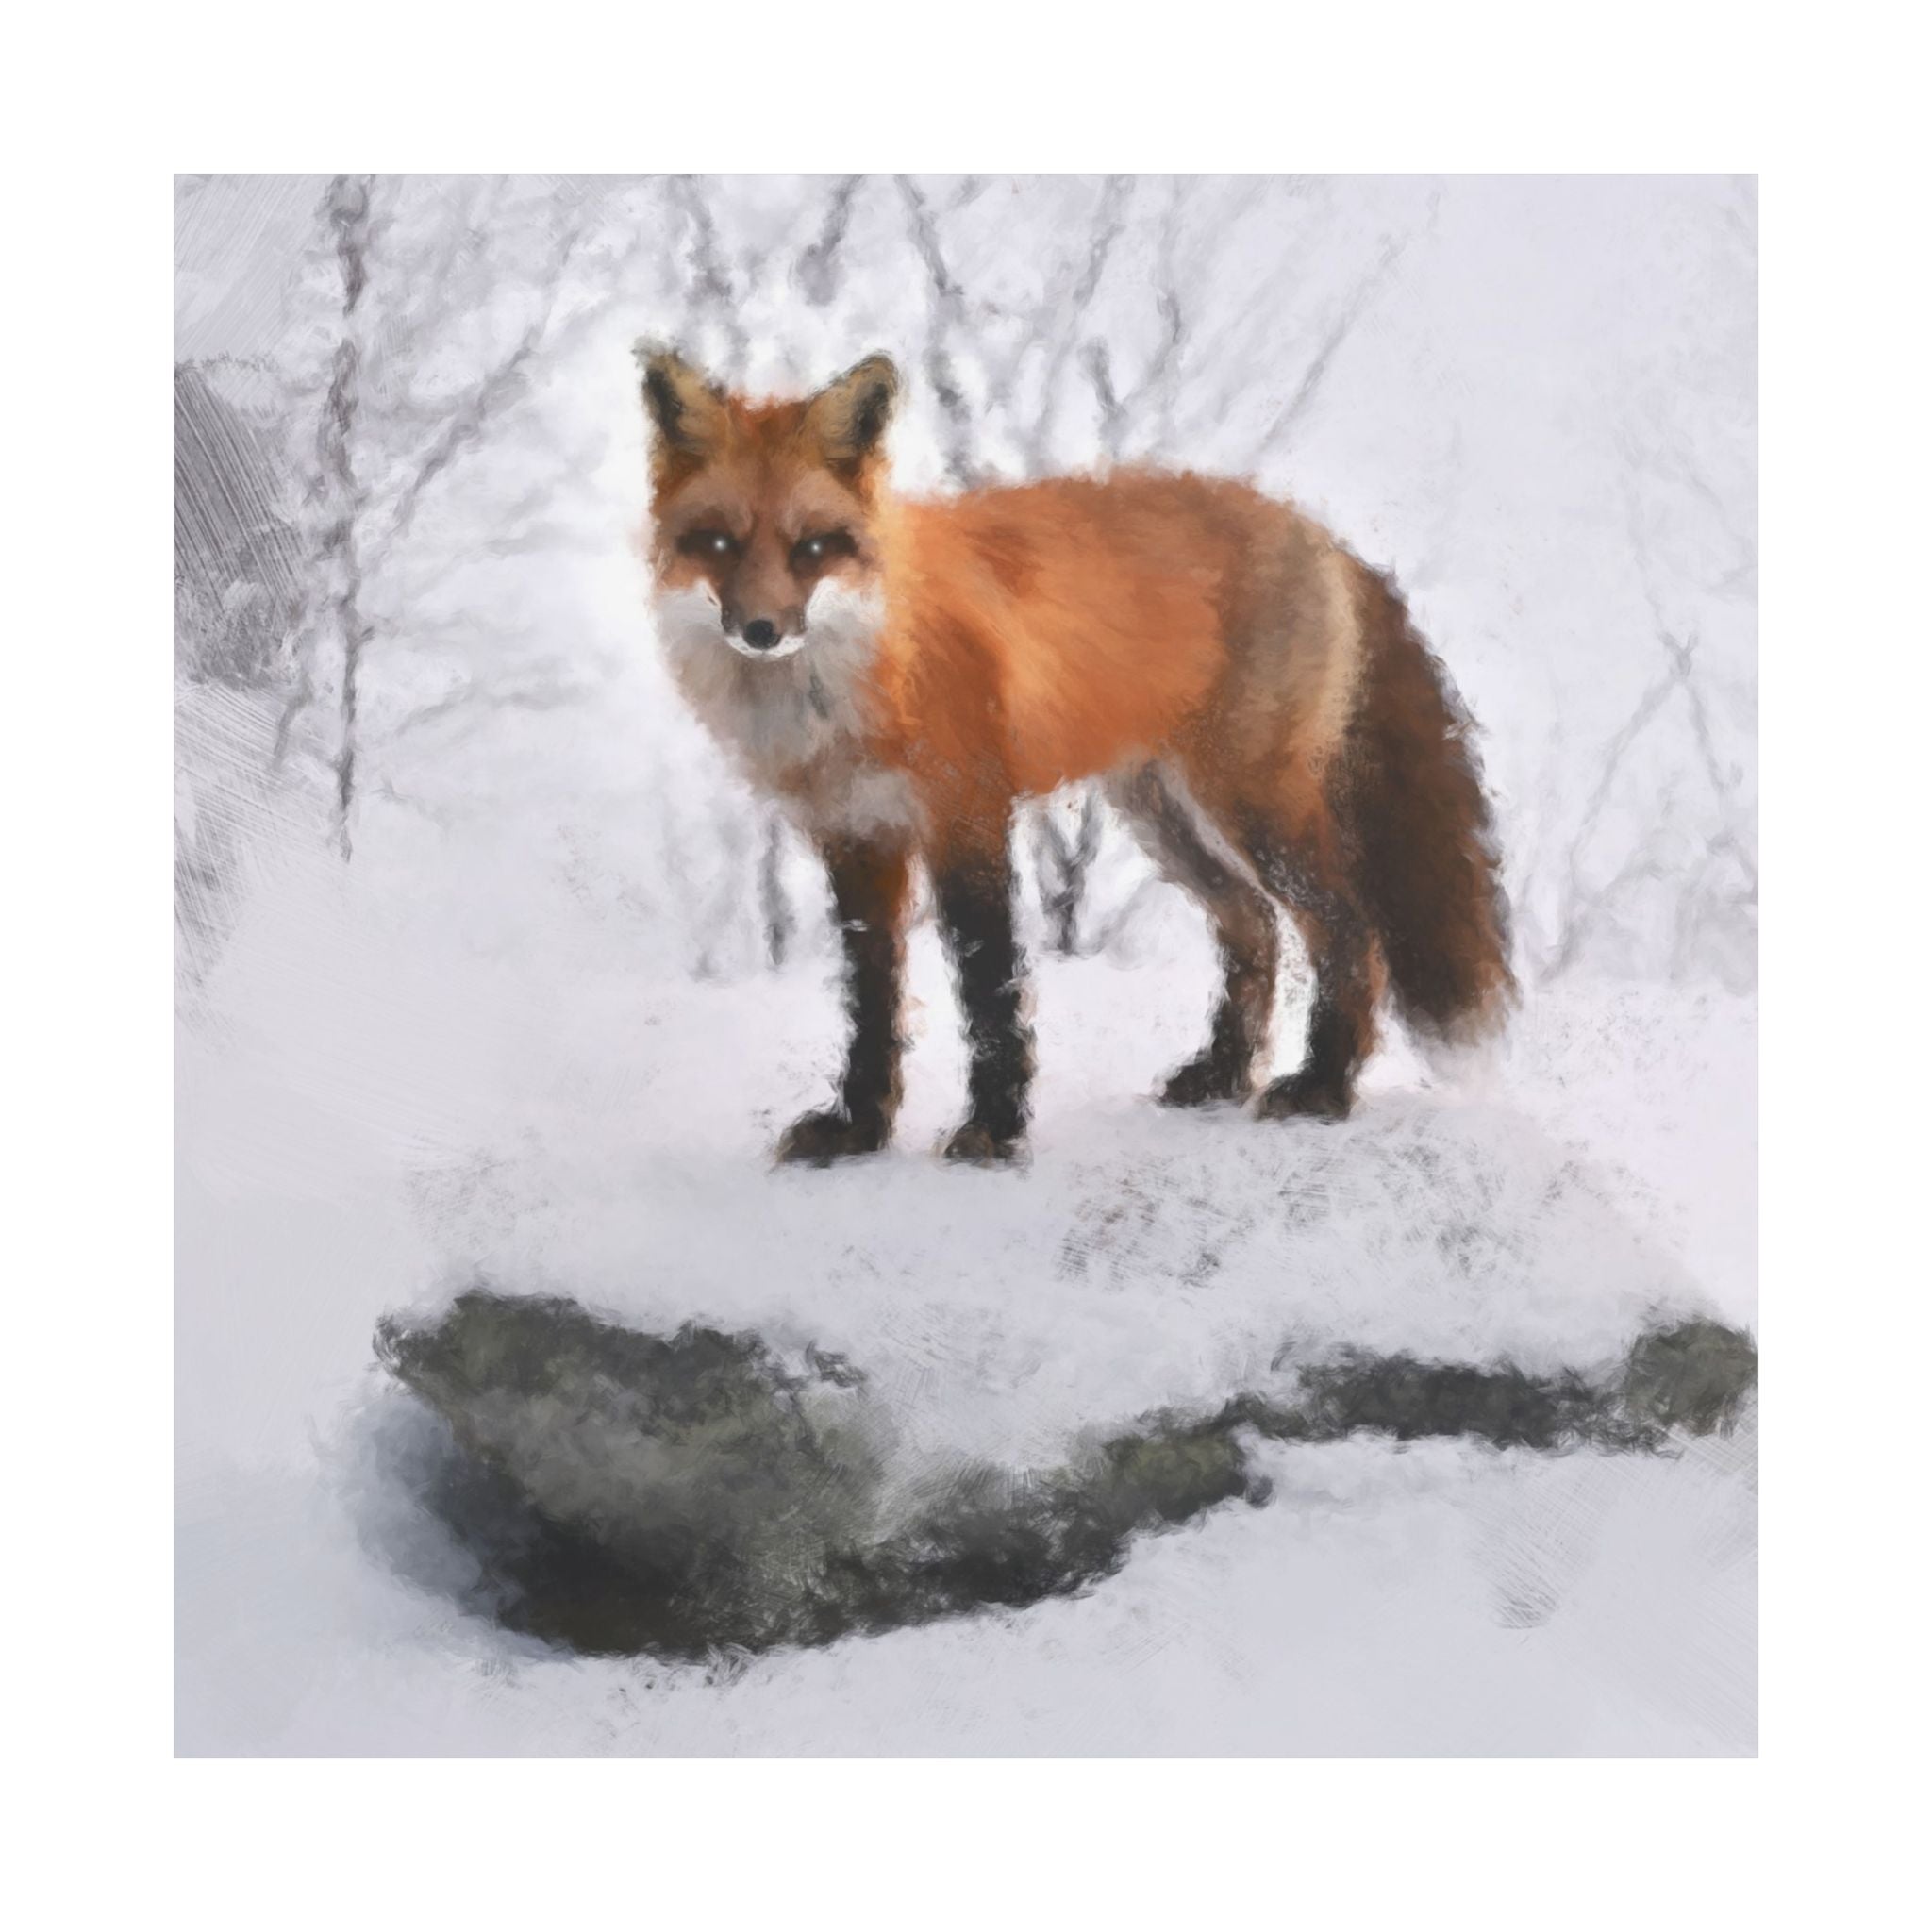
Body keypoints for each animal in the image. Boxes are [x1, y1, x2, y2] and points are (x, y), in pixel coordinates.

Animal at [636, 343, 1514, 1167]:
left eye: (812, 548)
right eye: (719, 543)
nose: (762, 632)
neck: (860, 673)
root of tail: (1319, 531)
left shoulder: (967, 816)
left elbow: (989, 989)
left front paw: (994, 1129)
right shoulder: (856, 837)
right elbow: (871, 1003)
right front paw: (858, 1130)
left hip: (1254, 808)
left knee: (1349, 933)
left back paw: (1324, 1088)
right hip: (1165, 817)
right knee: (1255, 930)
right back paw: (1224, 1075)